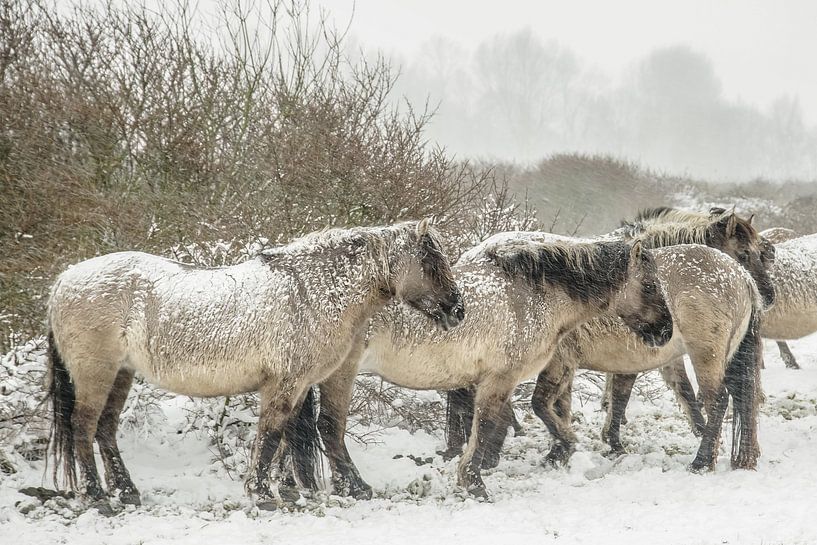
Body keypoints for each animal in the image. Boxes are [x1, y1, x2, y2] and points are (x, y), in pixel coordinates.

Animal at [46, 219, 464, 513]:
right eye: (429, 260)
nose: (458, 310)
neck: (312, 291)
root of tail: (63, 281)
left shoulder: (297, 384)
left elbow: (287, 436)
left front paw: (287, 490)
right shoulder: (286, 383)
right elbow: (272, 434)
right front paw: (262, 493)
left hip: (121, 374)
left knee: (105, 429)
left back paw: (126, 491)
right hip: (96, 373)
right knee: (83, 426)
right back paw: (97, 496)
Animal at [294, 236, 673, 499]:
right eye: (650, 284)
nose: (666, 332)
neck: (532, 295)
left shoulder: (487, 379)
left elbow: (502, 423)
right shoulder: (501, 378)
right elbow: (490, 424)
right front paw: (474, 484)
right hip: (340, 374)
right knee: (329, 427)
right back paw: (356, 488)